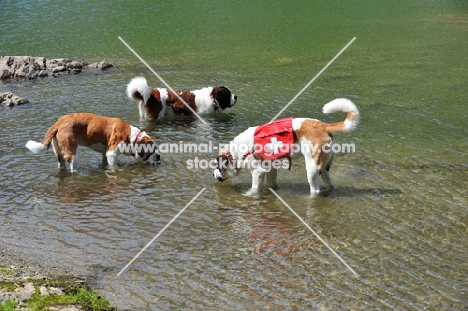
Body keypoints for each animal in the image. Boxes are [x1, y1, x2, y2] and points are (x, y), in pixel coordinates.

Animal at [25, 112, 161, 172]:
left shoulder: (105, 154)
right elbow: (114, 167)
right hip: (72, 154)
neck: (133, 137)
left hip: (59, 154)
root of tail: (59, 122)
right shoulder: (112, 154)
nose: (159, 156)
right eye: (152, 150)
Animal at [214, 98, 360, 196]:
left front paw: (249, 194)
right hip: (324, 168)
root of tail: (323, 125)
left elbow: (254, 188)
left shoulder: (257, 172)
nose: (214, 175)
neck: (234, 152)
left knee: (315, 190)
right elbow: (272, 183)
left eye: (217, 166)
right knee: (329, 183)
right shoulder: (270, 168)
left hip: (312, 167)